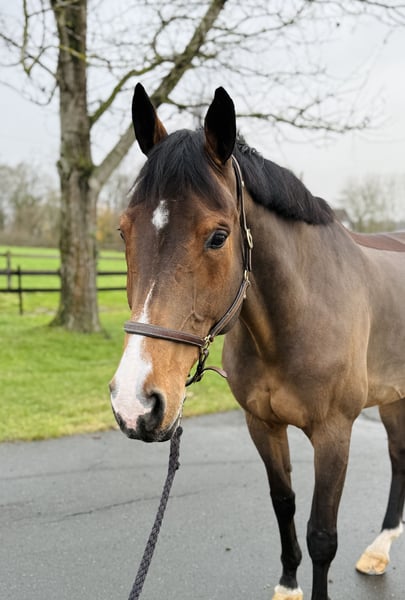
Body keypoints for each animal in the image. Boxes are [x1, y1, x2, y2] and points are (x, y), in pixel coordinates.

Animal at [109, 83, 405, 600]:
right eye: (123, 231)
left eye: (218, 236)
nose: (135, 403)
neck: (298, 318)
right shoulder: (261, 425)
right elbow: (283, 502)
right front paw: (287, 586)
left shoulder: (335, 432)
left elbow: (322, 534)